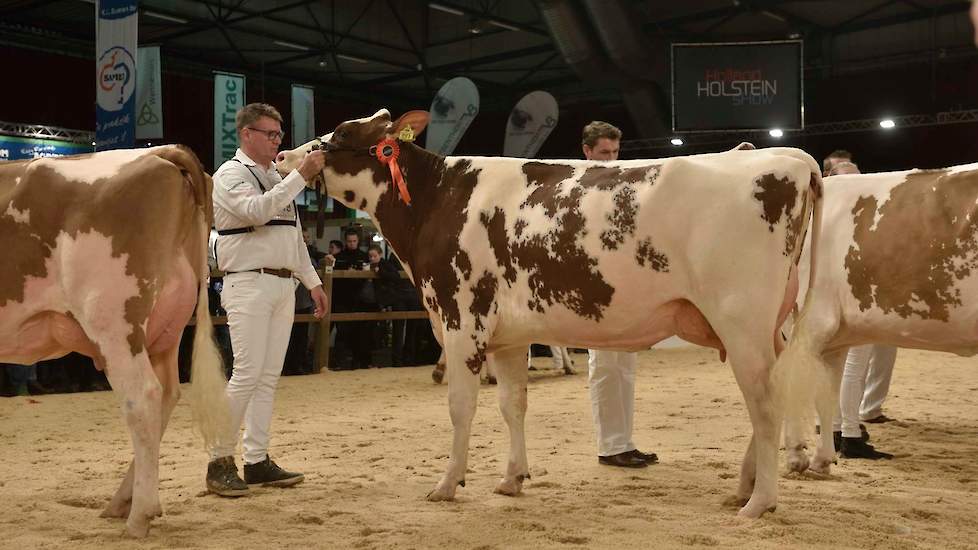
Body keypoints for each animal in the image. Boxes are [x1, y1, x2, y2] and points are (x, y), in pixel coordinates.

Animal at [0, 147, 229, 540]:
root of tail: (159, 154)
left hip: (114, 322)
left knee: (143, 397)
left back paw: (139, 516)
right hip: (165, 329)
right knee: (166, 395)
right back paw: (123, 501)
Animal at [278, 111, 820, 516]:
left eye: (342, 134)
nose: (285, 154)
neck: (437, 198)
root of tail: (787, 156)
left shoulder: (460, 319)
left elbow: (461, 407)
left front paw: (447, 483)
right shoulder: (509, 335)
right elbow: (511, 404)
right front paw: (512, 478)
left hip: (742, 322)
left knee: (765, 405)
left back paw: (760, 502)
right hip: (766, 327)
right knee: (769, 398)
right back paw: (743, 487)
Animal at [776, 163, 976, 474]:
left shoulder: (813, 324)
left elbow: (805, 387)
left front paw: (801, 456)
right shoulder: (830, 333)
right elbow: (824, 392)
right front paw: (818, 458)